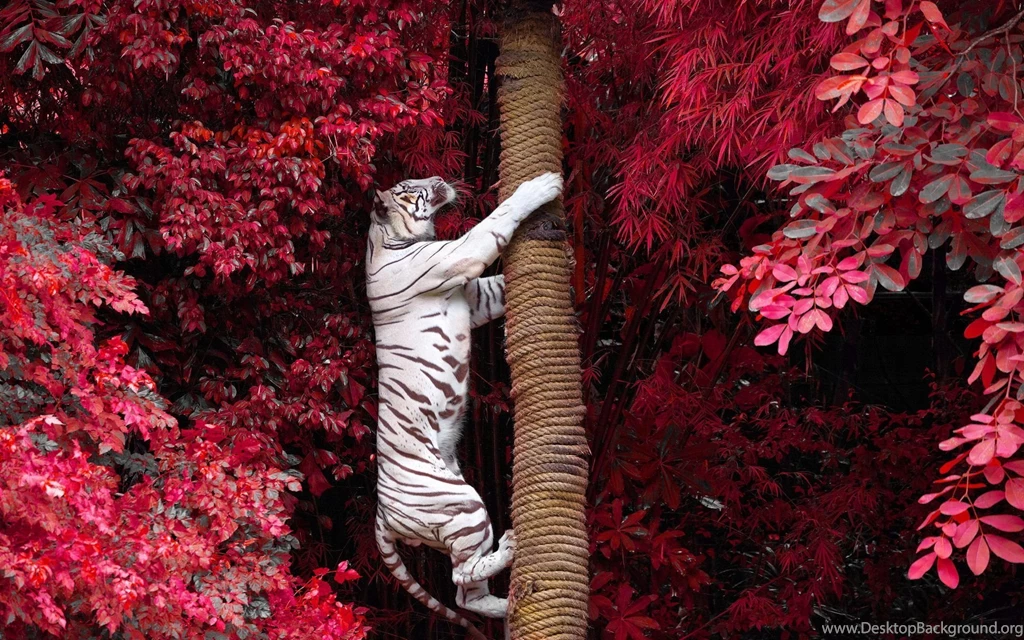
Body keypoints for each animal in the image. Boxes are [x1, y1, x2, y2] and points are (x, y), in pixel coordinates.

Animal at [366, 171, 563, 637]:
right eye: (411, 187)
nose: (438, 176)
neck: (386, 237)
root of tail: (381, 514)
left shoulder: (476, 297)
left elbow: (501, 284)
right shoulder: (459, 255)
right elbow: (497, 219)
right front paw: (542, 186)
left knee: (465, 595)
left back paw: (505, 605)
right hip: (462, 505)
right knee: (458, 580)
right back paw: (509, 549)